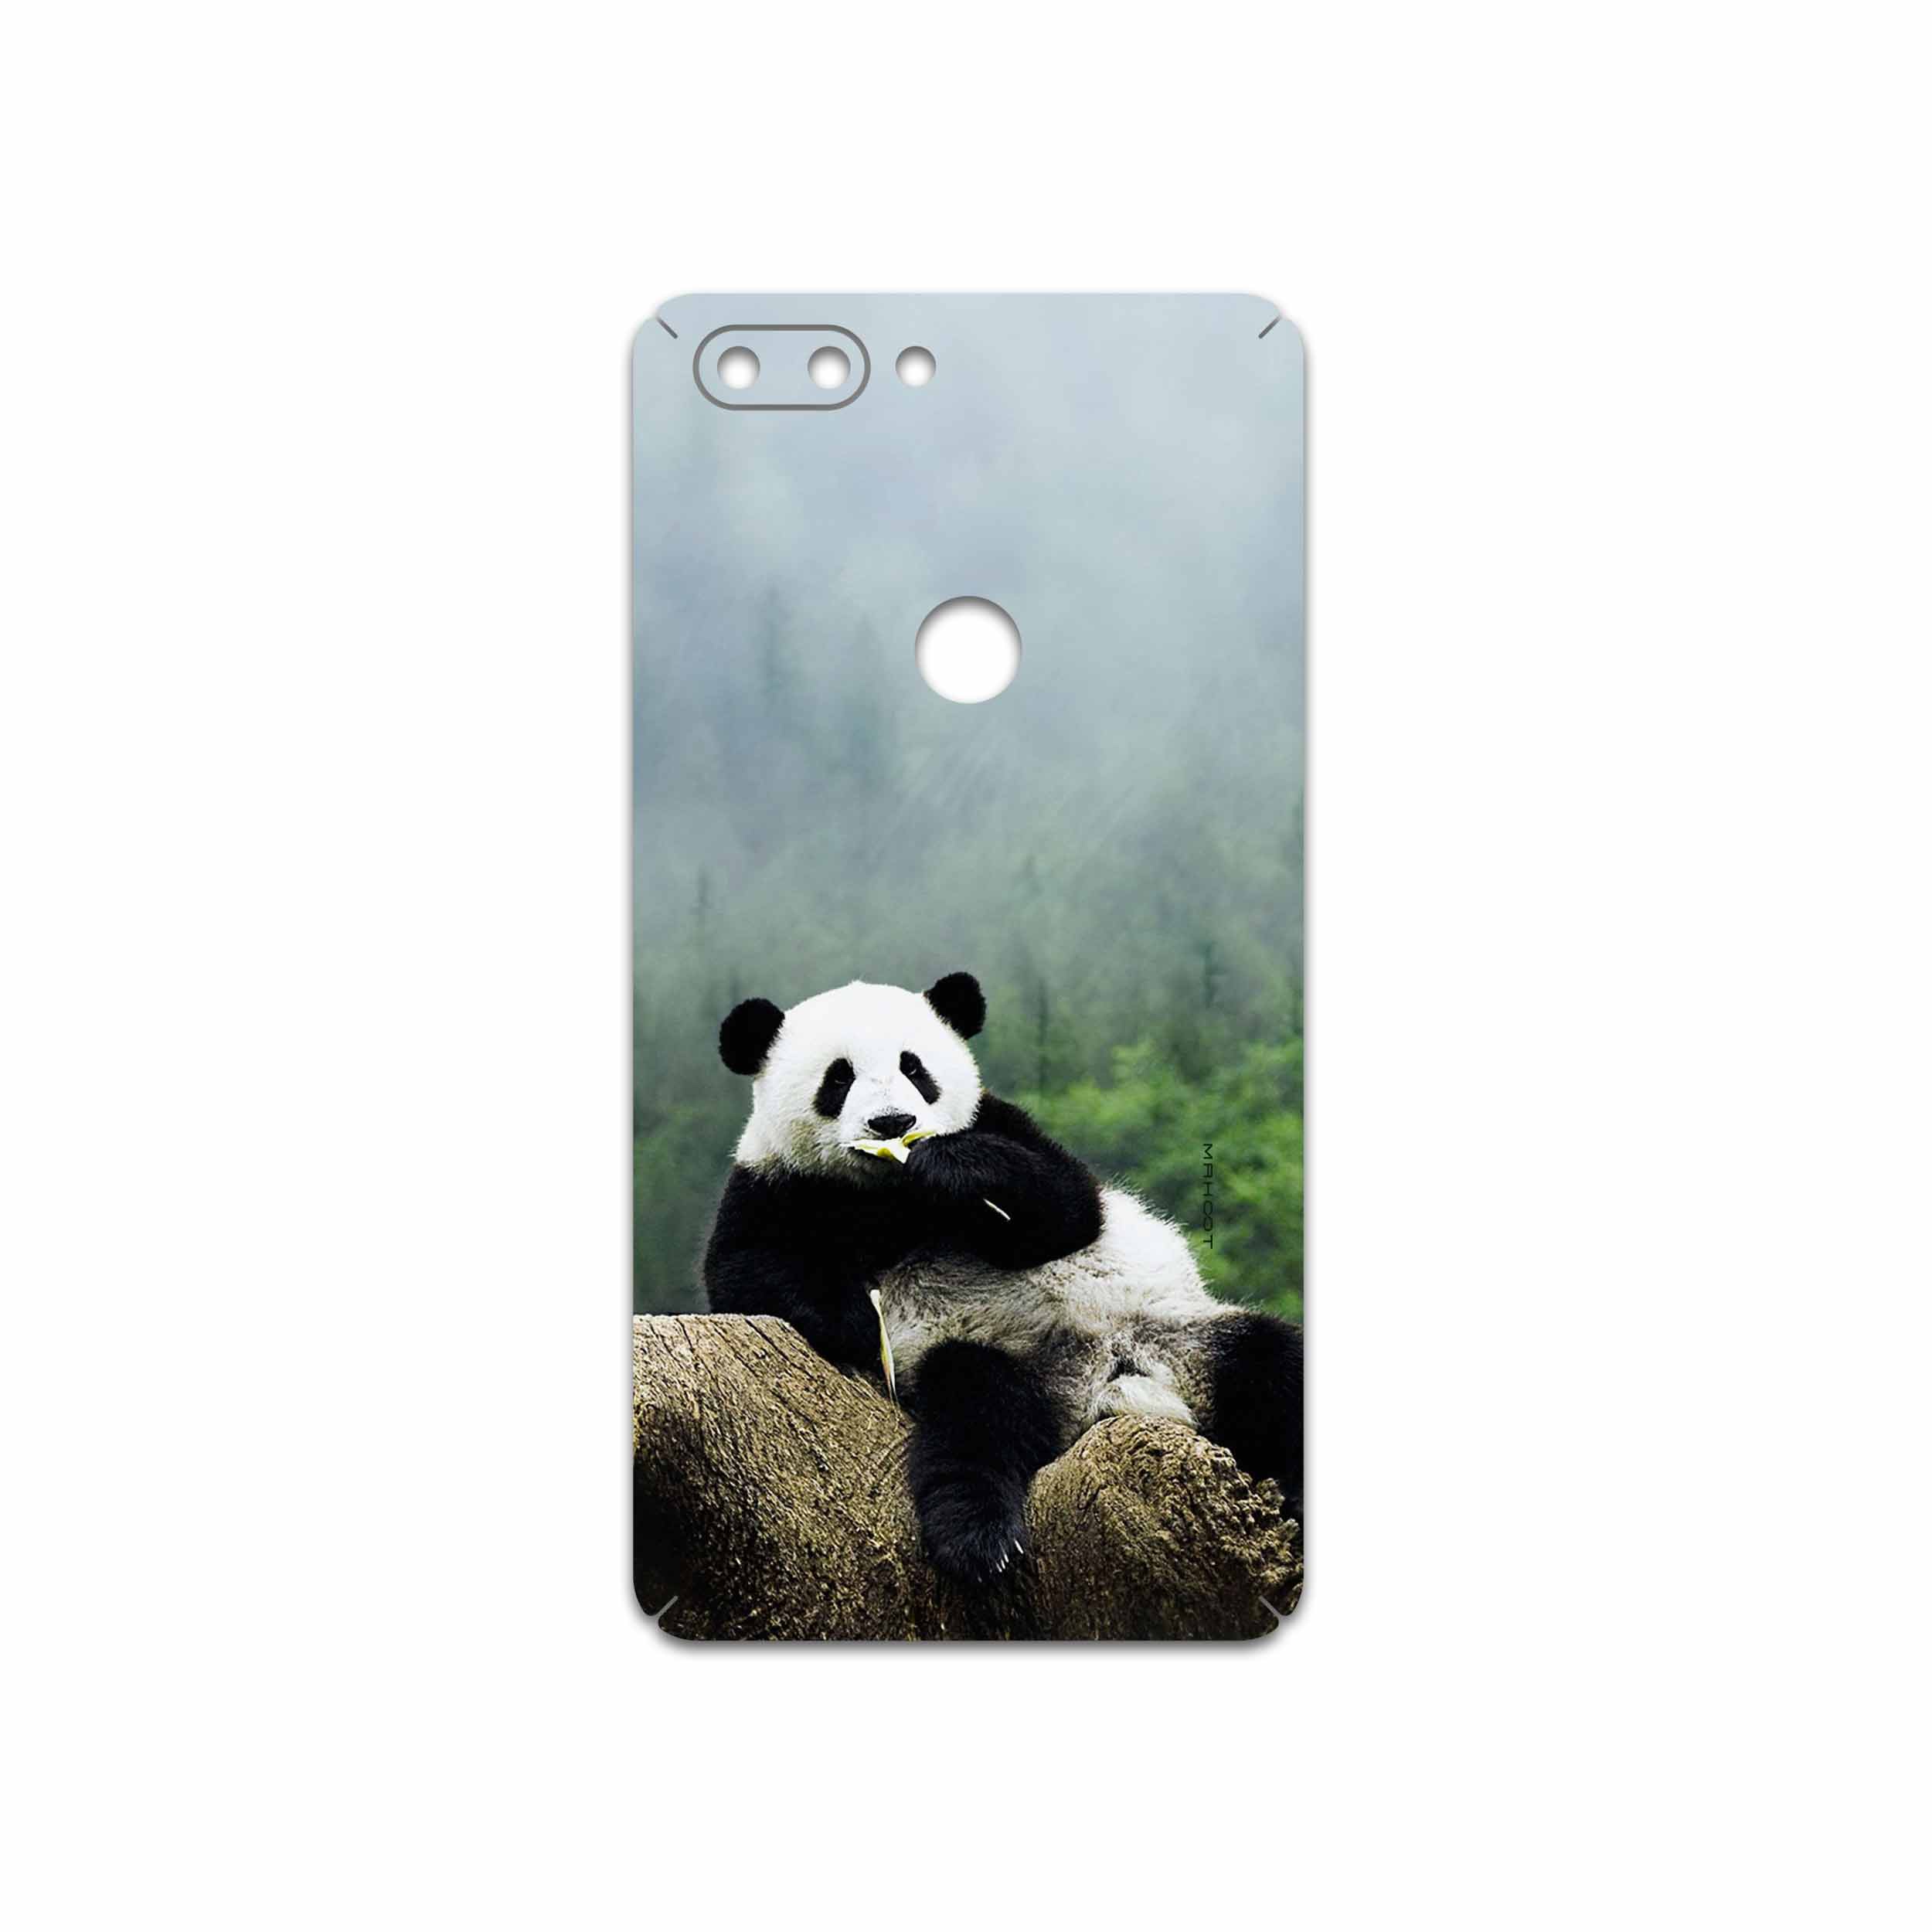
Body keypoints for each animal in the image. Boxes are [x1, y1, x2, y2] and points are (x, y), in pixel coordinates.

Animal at [704, 971, 1303, 1583]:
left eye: (914, 1068)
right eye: (839, 1077)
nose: (893, 1123)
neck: (888, 1195)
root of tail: (1105, 1385)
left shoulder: (1000, 1123)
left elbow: (1068, 1207)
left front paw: (950, 1169)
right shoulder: (774, 1184)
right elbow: (744, 1269)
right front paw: (855, 1320)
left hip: (1180, 1333)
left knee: (1272, 1365)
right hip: (992, 1357)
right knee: (974, 1420)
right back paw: (981, 1540)